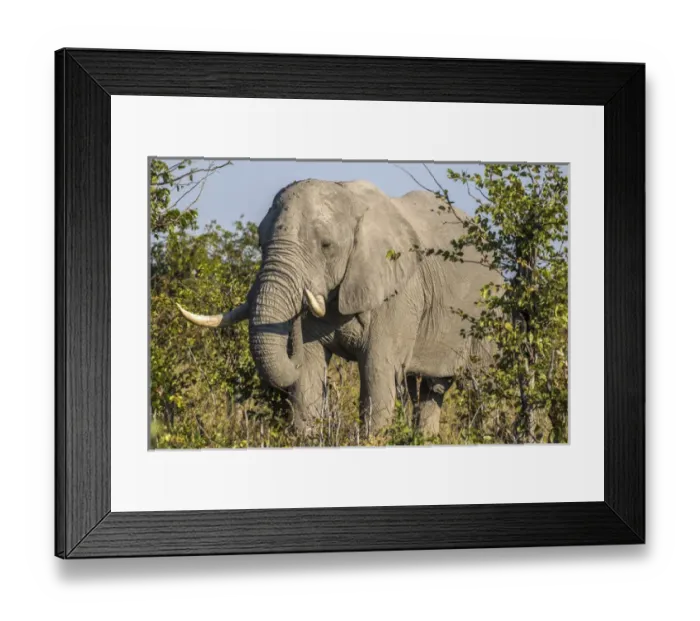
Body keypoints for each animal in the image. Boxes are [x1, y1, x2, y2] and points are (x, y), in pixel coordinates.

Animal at [176, 178, 500, 439]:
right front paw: (306, 438)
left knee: (481, 382)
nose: (293, 323)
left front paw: (374, 440)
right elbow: (308, 370)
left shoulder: (399, 294)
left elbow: (377, 371)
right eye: (260, 242)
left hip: (489, 311)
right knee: (428, 387)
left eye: (326, 246)